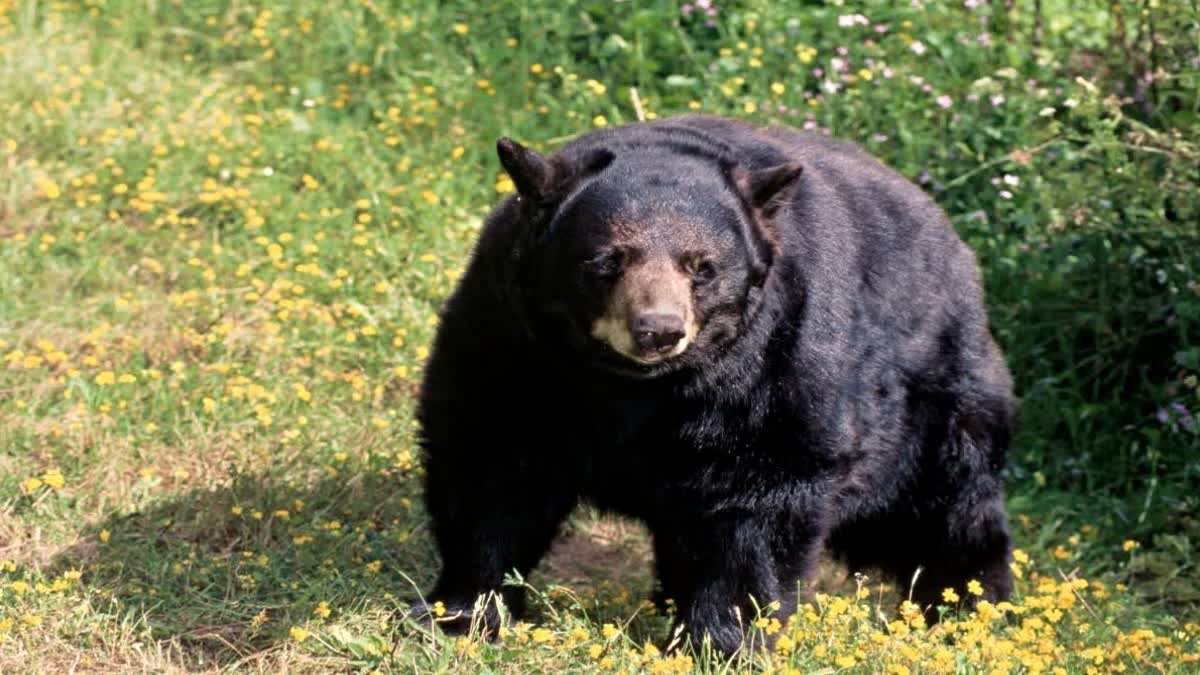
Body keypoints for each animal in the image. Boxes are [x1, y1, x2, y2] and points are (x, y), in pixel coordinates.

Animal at [414, 115, 1015, 655]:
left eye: (701, 267)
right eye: (607, 260)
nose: (658, 329)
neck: (634, 388)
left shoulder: (776, 361)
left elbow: (761, 495)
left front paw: (721, 640)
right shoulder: (514, 343)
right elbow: (493, 460)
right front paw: (463, 612)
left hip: (930, 397)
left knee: (944, 504)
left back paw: (972, 610)